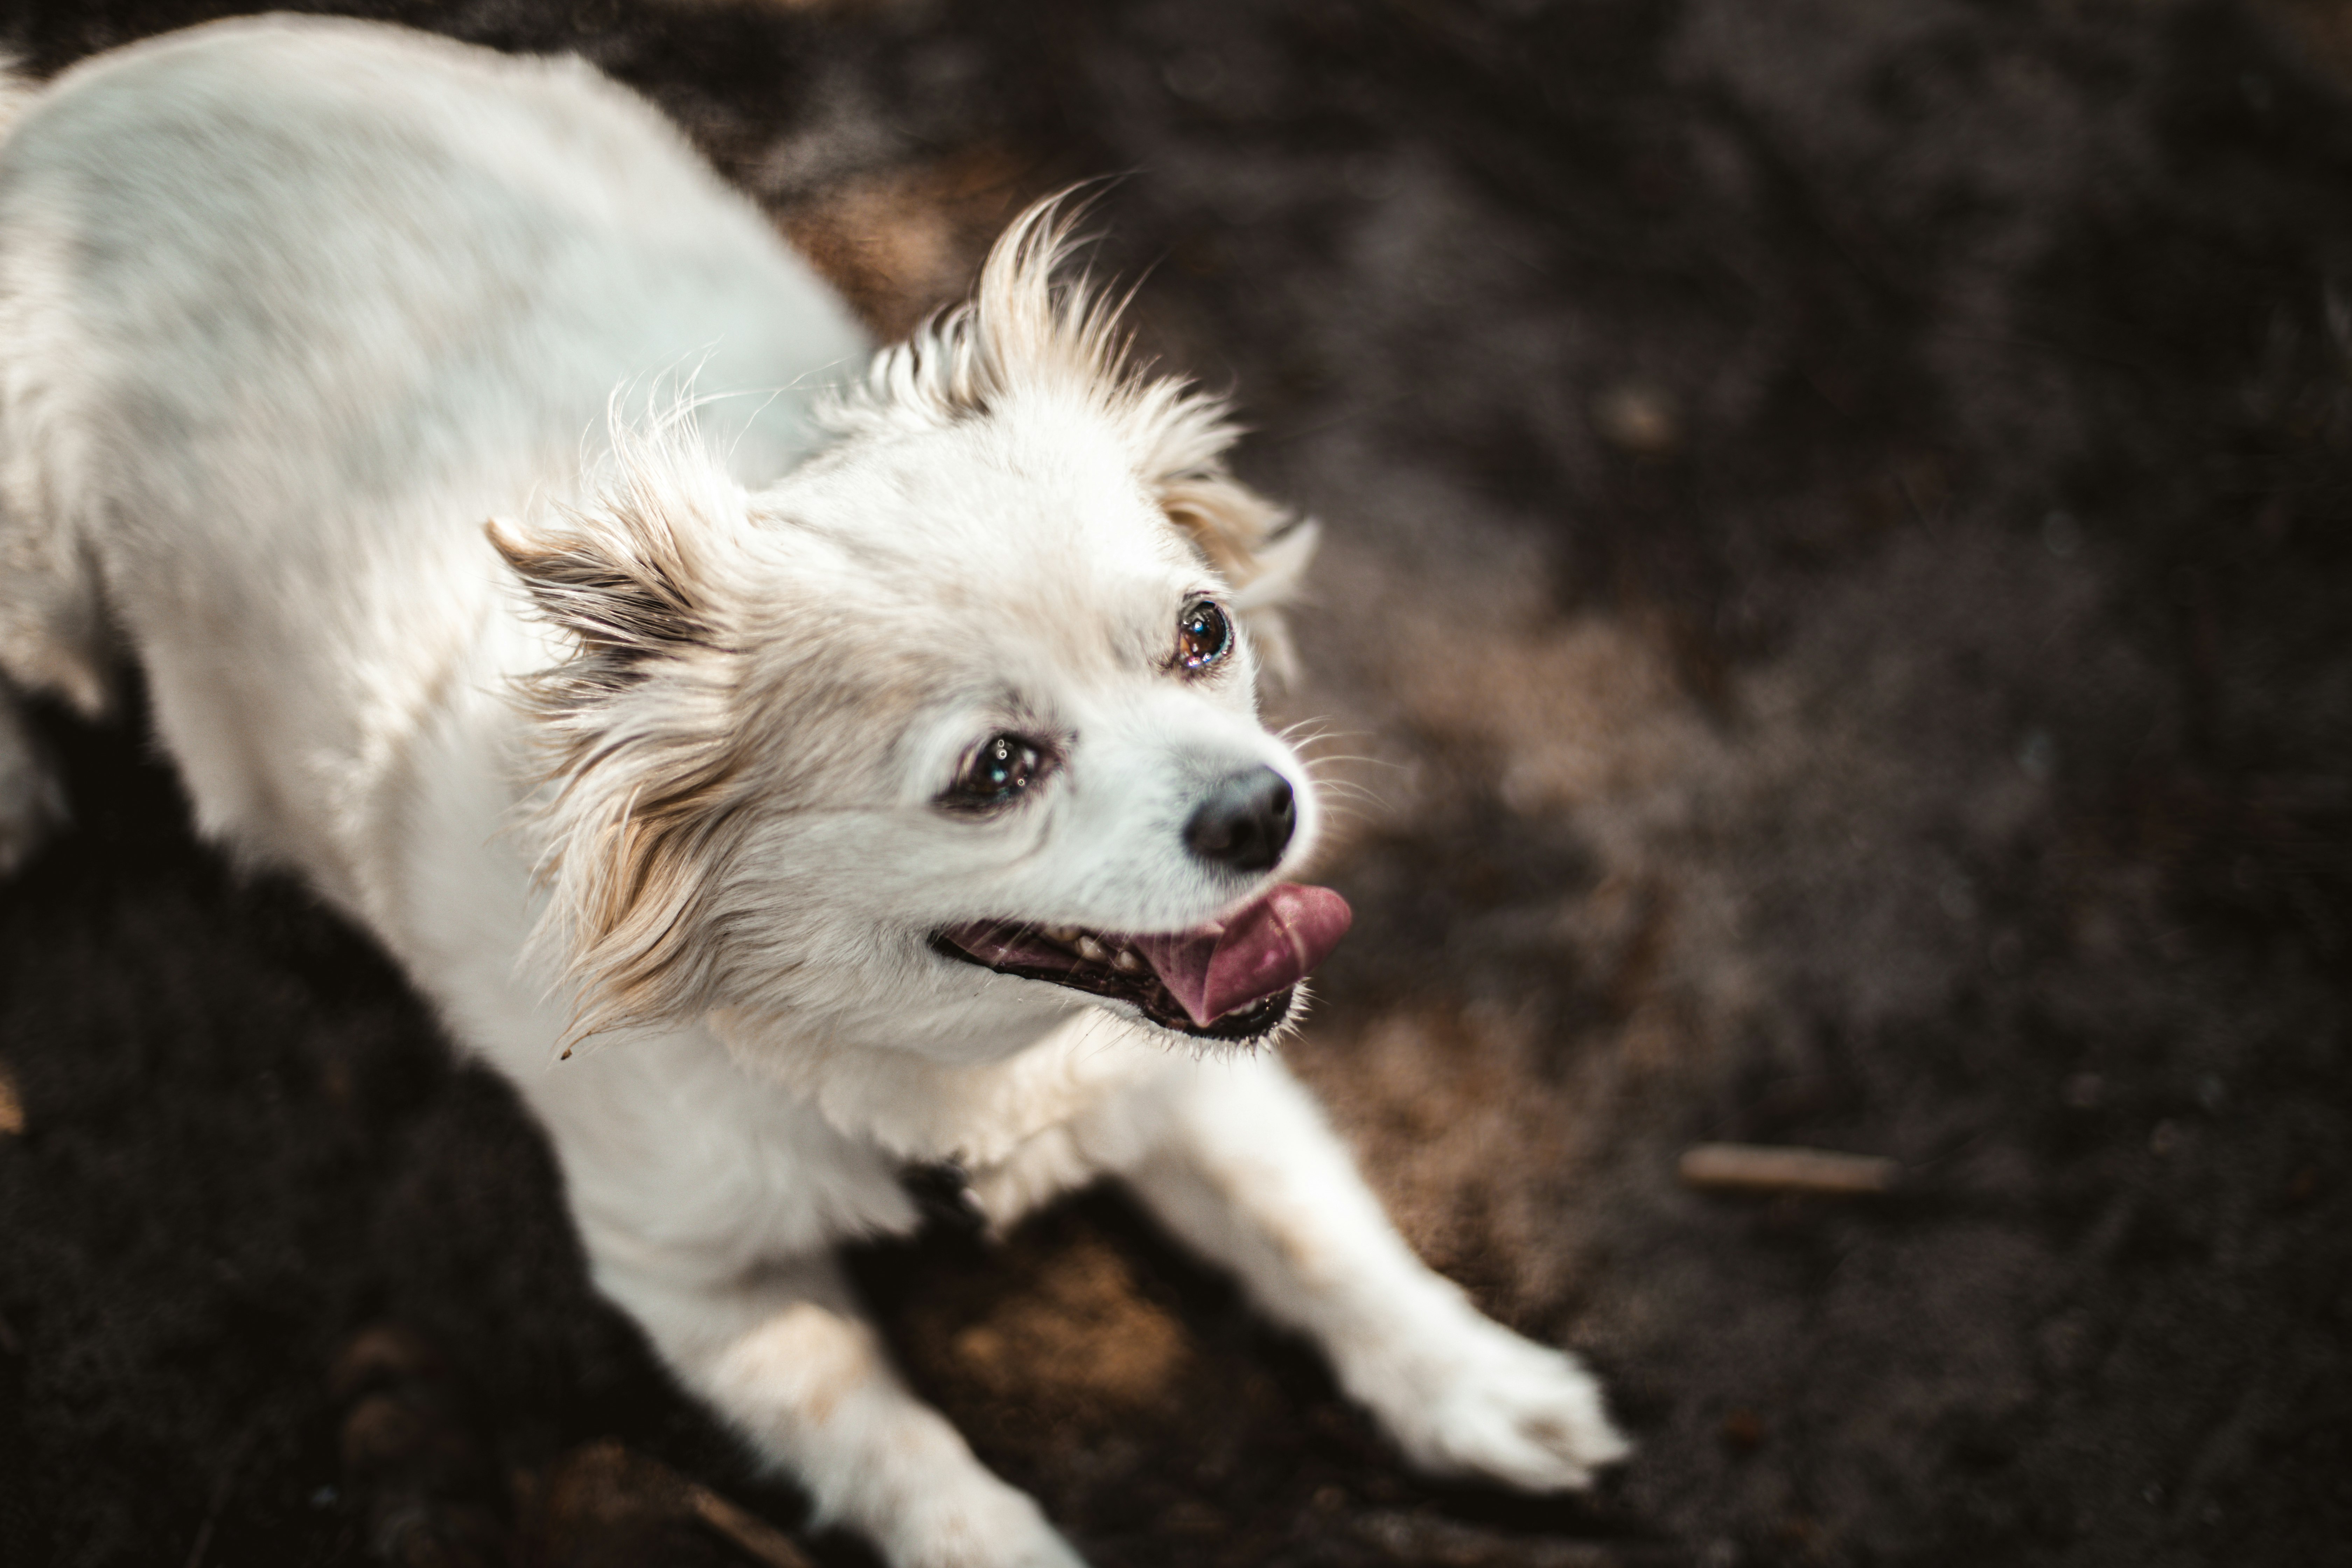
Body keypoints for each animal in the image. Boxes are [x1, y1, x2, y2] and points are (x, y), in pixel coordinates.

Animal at [0, 15, 1618, 1568]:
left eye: (1202, 633)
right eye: (994, 771)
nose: (1260, 810)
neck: (950, 1068)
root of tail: (70, 104)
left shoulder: (1187, 1071)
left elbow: (1312, 1227)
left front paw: (1474, 1383)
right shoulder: (702, 1279)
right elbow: (897, 1454)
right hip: (40, 562)